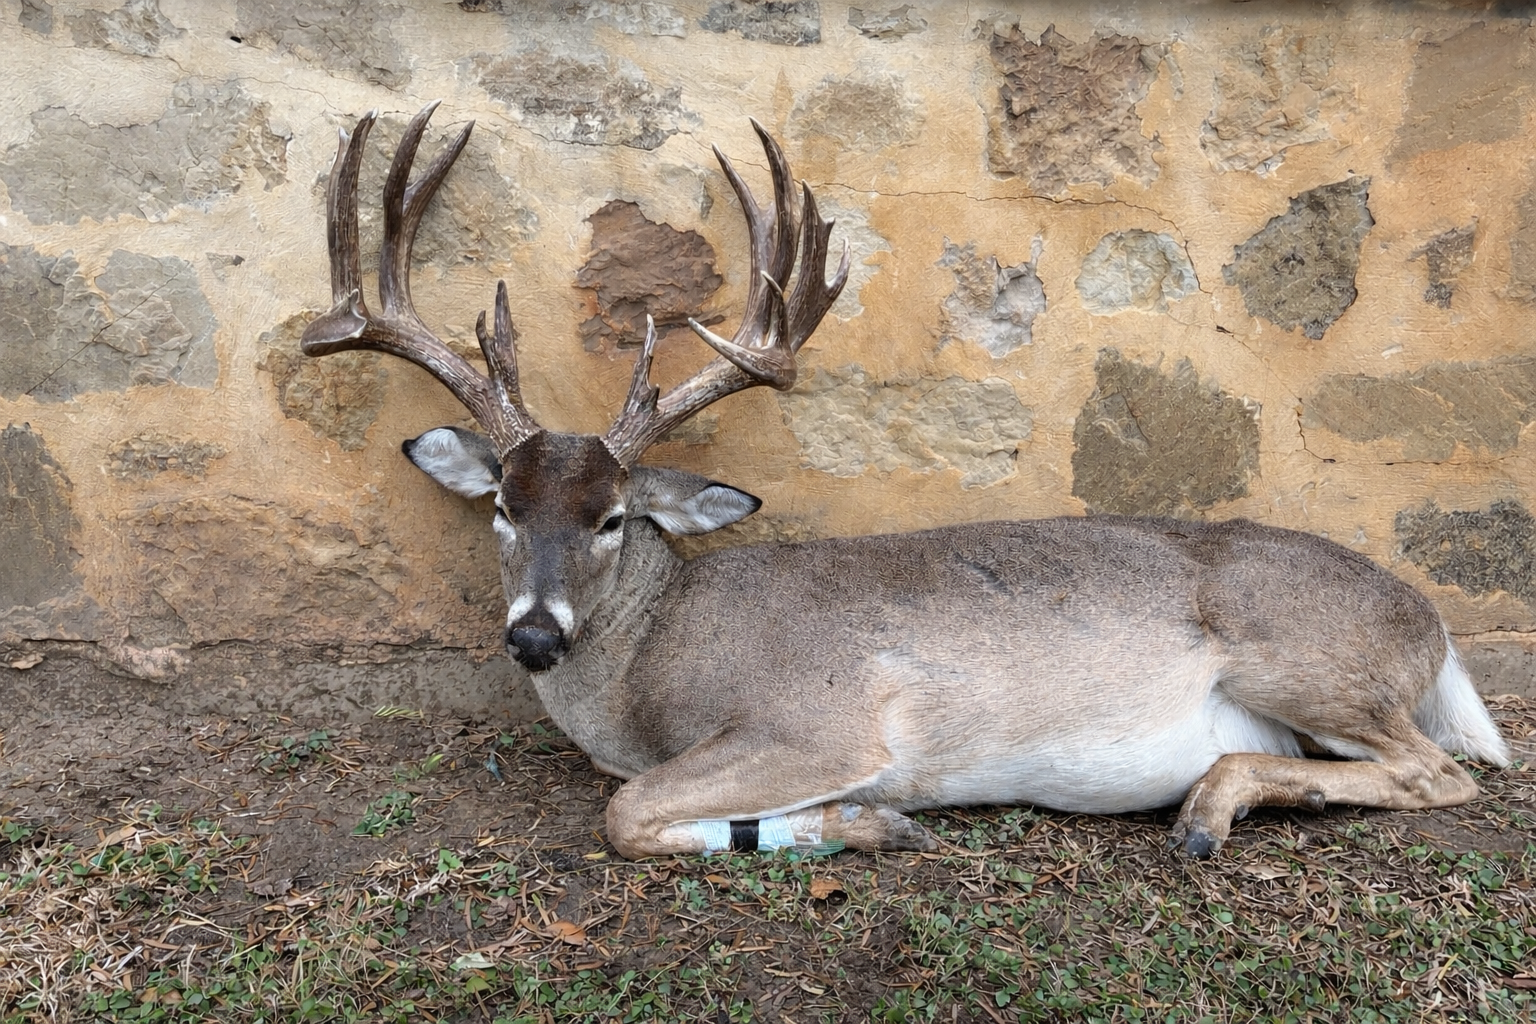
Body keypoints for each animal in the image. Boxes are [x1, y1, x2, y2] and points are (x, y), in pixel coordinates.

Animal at [301, 102, 1510, 860]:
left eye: (608, 518)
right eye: (506, 505)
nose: (535, 635)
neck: (652, 666)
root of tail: (1433, 627)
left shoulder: (823, 723)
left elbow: (628, 812)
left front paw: (865, 824)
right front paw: (854, 828)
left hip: (1300, 654)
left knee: (1448, 773)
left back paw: (1211, 806)